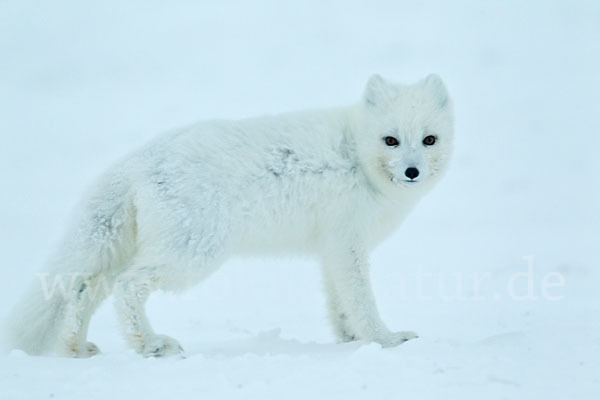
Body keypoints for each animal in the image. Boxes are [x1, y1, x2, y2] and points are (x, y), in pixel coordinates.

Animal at [3, 73, 454, 358]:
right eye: (391, 140)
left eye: (429, 140)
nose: (412, 172)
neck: (357, 157)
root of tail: (138, 160)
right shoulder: (349, 246)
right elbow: (362, 301)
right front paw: (386, 341)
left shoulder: (332, 250)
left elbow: (339, 305)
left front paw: (350, 340)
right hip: (193, 255)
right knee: (126, 287)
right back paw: (150, 345)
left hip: (140, 248)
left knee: (83, 289)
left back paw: (76, 348)